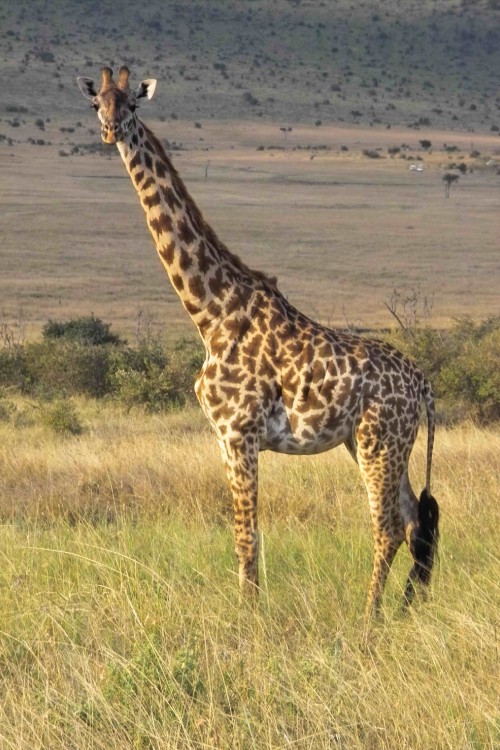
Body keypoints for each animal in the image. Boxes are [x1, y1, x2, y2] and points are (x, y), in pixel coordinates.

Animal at [76, 67, 440, 620]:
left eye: (132, 105)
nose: (110, 130)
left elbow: (246, 538)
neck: (212, 313)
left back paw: (368, 618)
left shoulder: (240, 432)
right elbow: (244, 538)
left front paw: (248, 621)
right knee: (415, 520)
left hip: (381, 440)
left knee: (389, 526)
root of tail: (422, 385)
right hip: (372, 443)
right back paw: (401, 612)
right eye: (97, 102)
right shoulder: (223, 438)